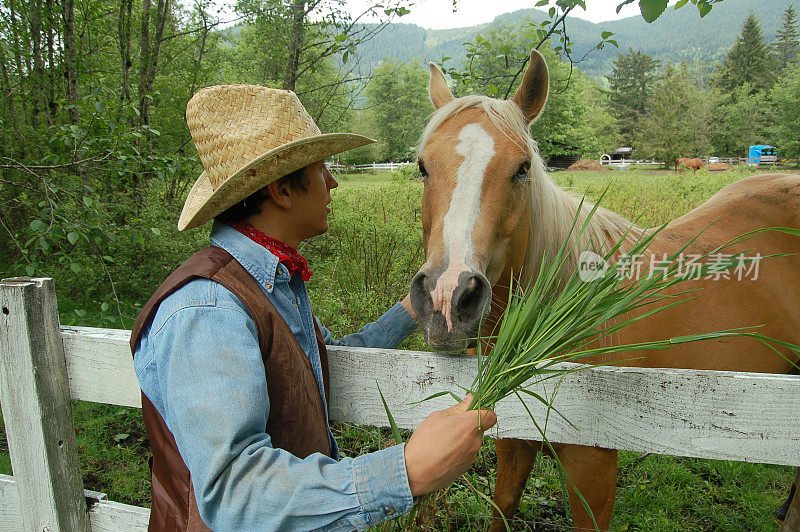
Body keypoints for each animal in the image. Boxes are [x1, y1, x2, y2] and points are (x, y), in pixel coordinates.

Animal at [410, 48, 800, 528]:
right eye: (422, 166)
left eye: (522, 169)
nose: (447, 297)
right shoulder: (513, 436)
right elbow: (503, 506)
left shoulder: (592, 462)